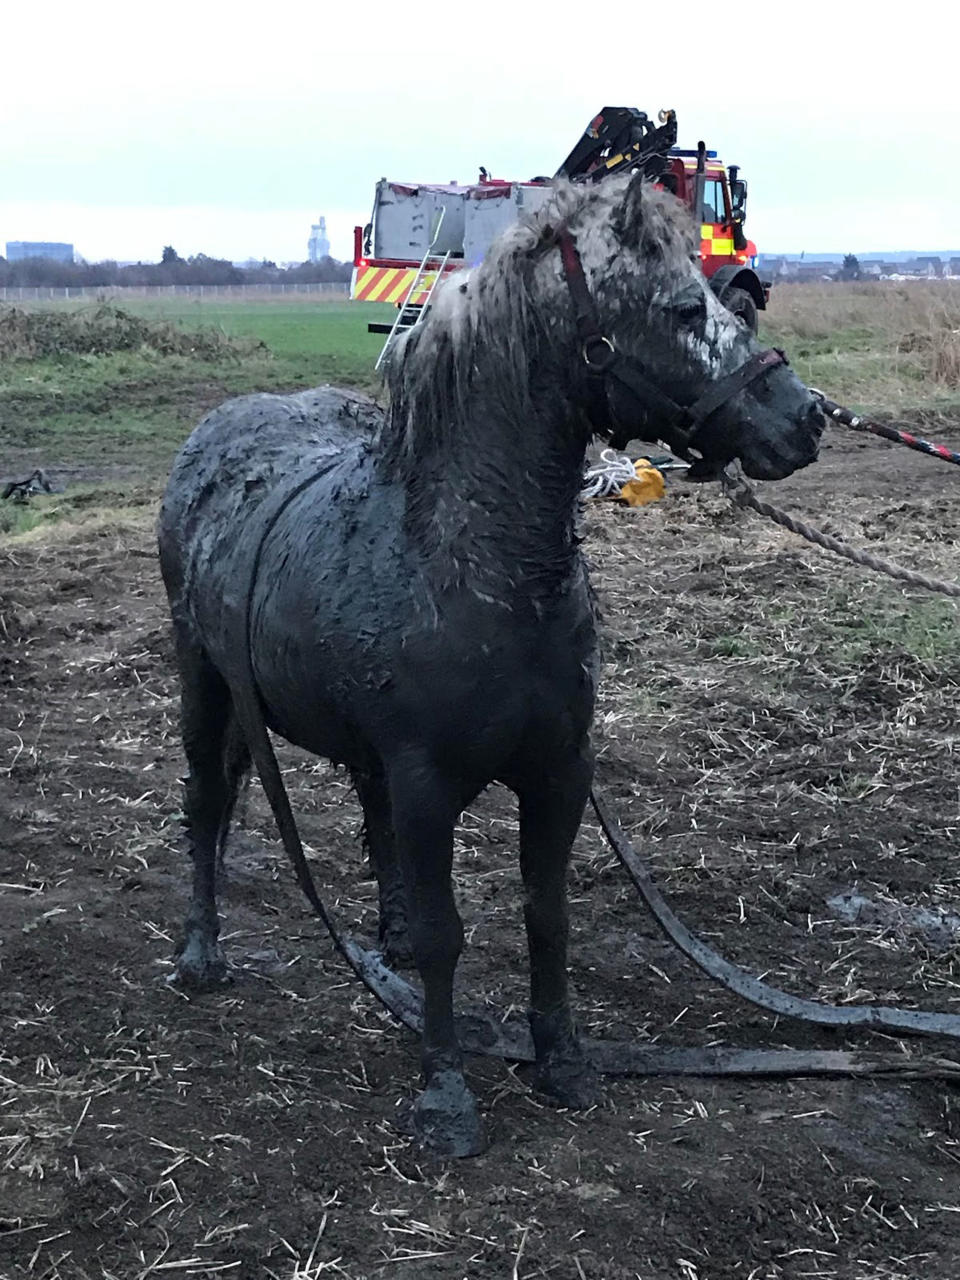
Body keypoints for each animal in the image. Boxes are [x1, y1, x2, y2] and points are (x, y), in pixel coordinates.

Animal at [160, 175, 829, 1157]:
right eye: (681, 309)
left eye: (731, 303)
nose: (804, 417)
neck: (478, 568)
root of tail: (214, 431)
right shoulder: (429, 782)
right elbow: (450, 933)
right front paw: (445, 1098)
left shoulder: (558, 771)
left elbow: (547, 917)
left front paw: (565, 1065)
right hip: (204, 686)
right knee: (207, 805)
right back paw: (203, 955)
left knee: (366, 812)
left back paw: (387, 943)